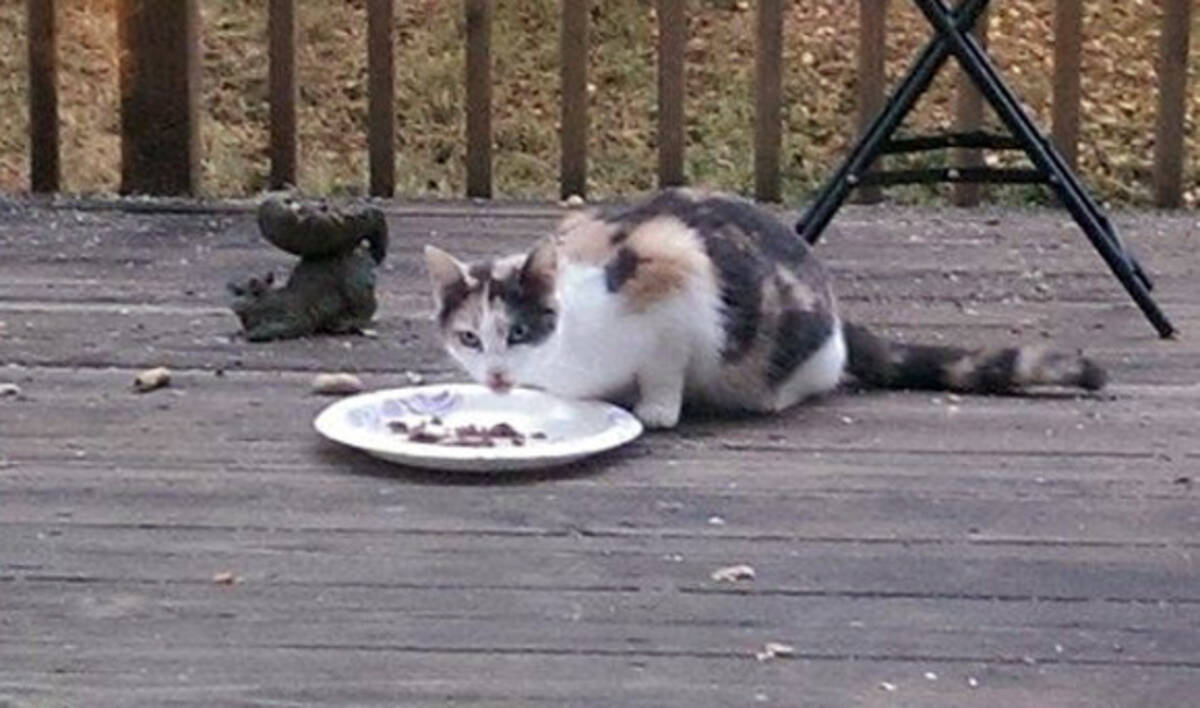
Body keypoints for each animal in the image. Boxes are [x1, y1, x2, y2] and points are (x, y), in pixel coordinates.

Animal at [424, 188, 1104, 429]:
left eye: (517, 331)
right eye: (469, 338)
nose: (496, 378)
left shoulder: (676, 278)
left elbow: (665, 366)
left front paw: (656, 409)